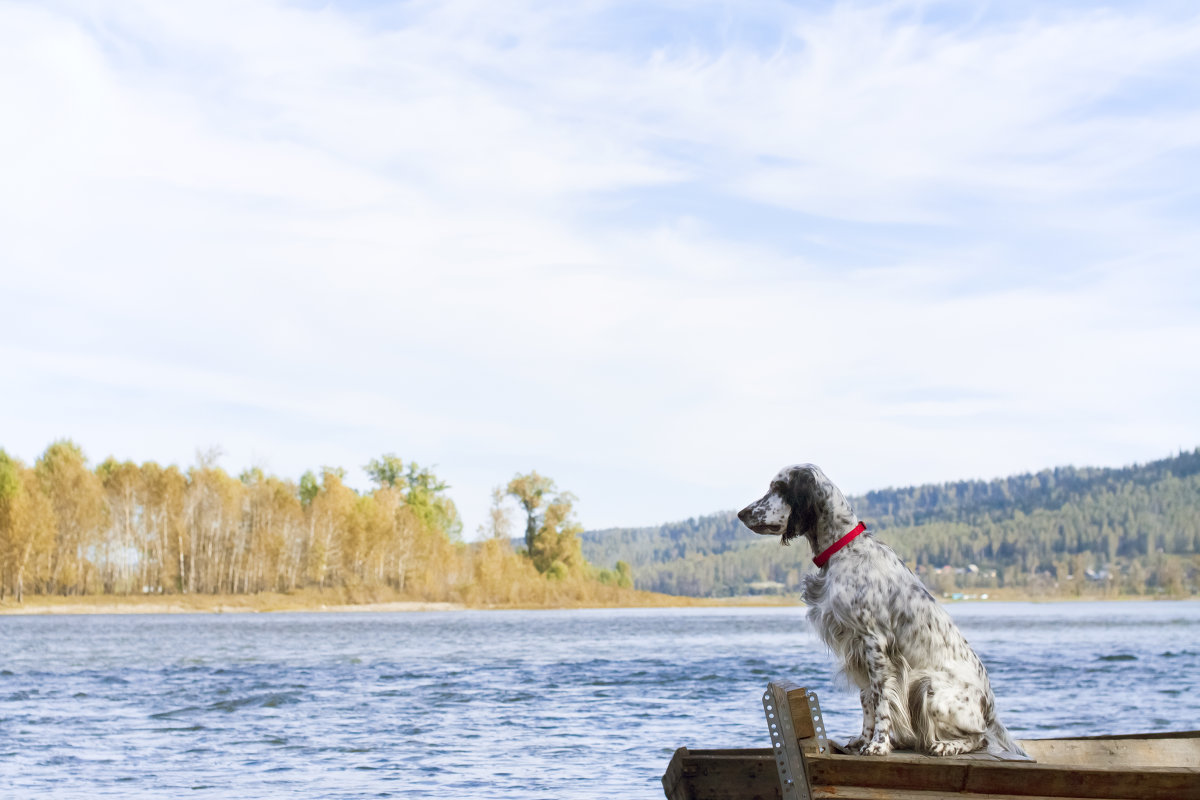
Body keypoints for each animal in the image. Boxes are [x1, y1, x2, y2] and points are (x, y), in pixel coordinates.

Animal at [734, 462, 1027, 758]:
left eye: (779, 487)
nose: (741, 513)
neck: (843, 549)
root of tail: (990, 709)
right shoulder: (856, 647)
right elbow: (866, 698)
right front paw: (863, 739)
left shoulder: (875, 643)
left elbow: (881, 698)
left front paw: (878, 743)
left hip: (931, 689)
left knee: (979, 737)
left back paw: (946, 745)